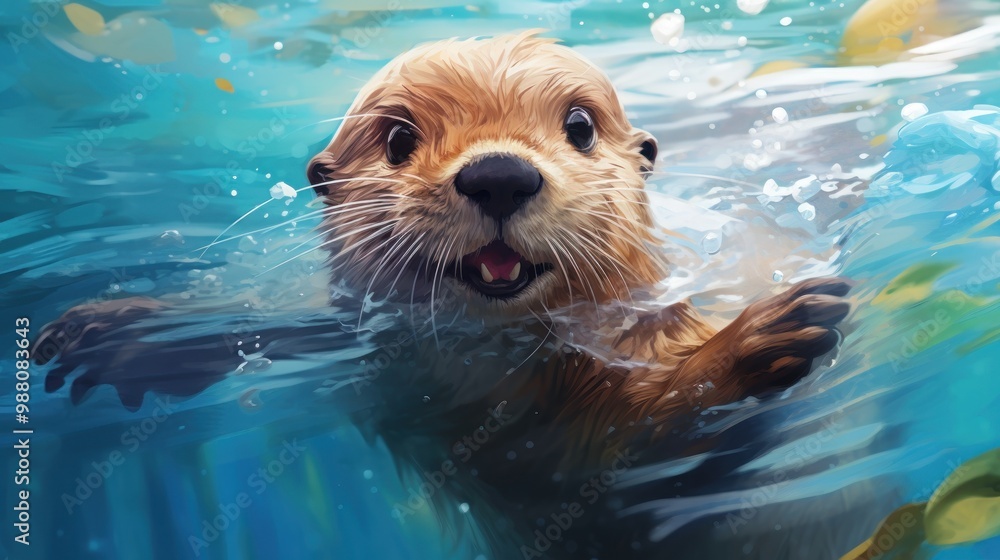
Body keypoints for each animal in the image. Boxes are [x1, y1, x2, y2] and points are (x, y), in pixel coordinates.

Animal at [35, 32, 849, 559]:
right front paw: (127, 335)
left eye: (580, 126)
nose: (498, 174)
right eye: (398, 140)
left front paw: (765, 333)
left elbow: (636, 439)